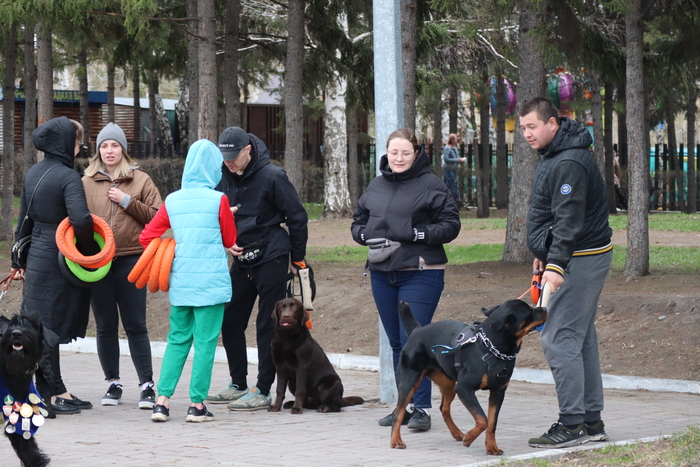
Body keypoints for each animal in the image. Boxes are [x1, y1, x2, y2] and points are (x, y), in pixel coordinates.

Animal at [1, 314, 51, 467]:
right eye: (11, 325)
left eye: (31, 327)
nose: (16, 333)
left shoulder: (18, 409)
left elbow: (23, 439)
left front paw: (35, 461)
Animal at [390, 299, 546, 455]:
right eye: (529, 311)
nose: (545, 308)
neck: (492, 347)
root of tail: (416, 331)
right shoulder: (464, 388)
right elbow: (483, 419)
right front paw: (470, 438)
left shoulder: (498, 391)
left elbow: (492, 423)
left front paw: (491, 447)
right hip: (410, 380)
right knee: (398, 411)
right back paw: (396, 441)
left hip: (448, 385)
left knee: (444, 408)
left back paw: (457, 433)